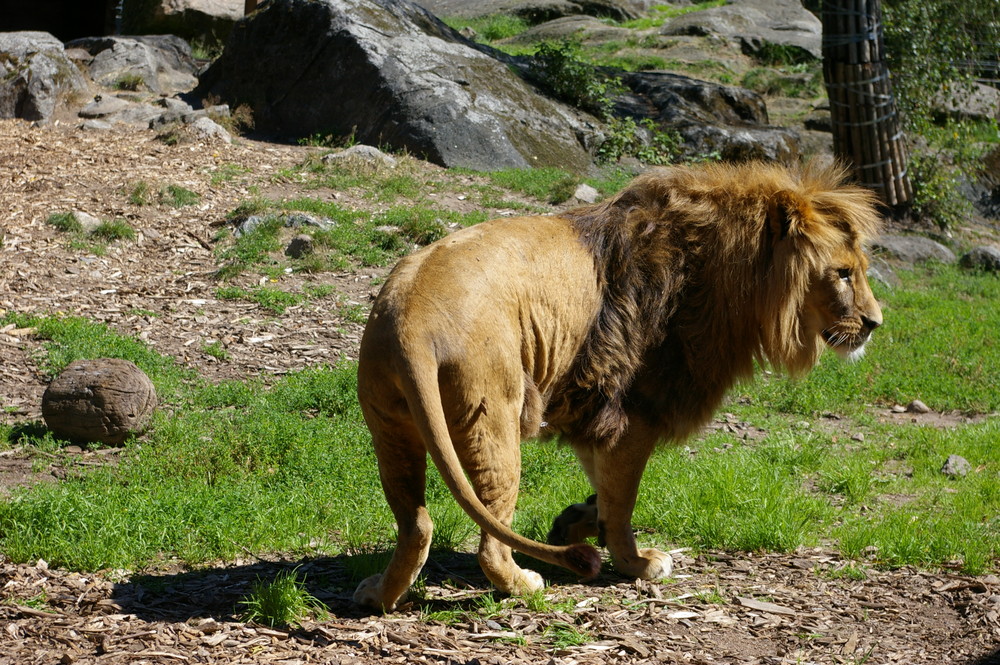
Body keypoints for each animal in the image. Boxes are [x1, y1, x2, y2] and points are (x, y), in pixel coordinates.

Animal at [354, 158, 884, 608]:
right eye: (842, 273)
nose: (875, 323)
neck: (730, 273)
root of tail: (411, 322)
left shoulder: (591, 408)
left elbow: (604, 491)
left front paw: (576, 521)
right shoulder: (632, 411)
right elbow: (623, 499)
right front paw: (637, 563)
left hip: (390, 425)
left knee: (417, 524)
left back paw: (378, 594)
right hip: (494, 415)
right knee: (489, 539)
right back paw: (524, 585)